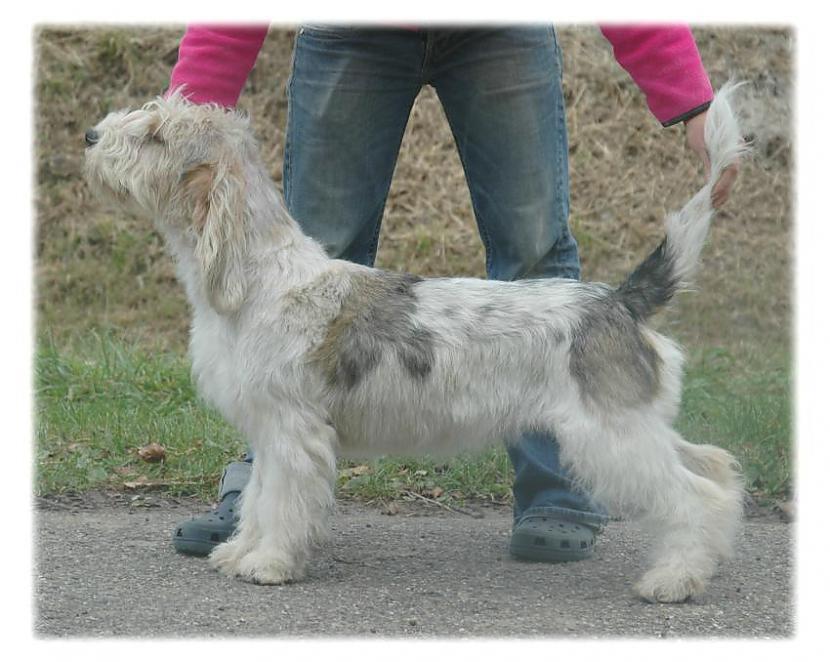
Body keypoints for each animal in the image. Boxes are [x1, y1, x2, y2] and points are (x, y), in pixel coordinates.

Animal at [84, 85, 748, 604]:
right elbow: (258, 497)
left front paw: (269, 564)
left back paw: (674, 579)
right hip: (635, 424)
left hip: (610, 434)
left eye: (154, 135)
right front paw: (240, 550)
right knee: (715, 468)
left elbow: (282, 503)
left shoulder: (293, 431)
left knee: (692, 491)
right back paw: (706, 559)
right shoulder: (270, 433)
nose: (91, 135)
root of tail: (620, 299)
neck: (259, 278)